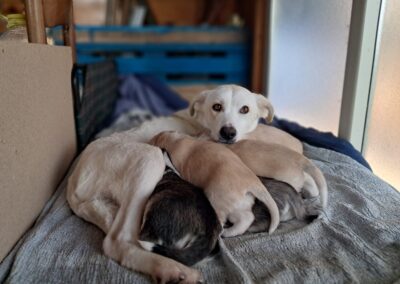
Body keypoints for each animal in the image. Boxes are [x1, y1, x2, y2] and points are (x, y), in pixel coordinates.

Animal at [148, 131, 280, 237]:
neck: (173, 140)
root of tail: (254, 183)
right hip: (238, 205)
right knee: (246, 218)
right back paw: (229, 232)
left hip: (216, 198)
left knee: (222, 223)